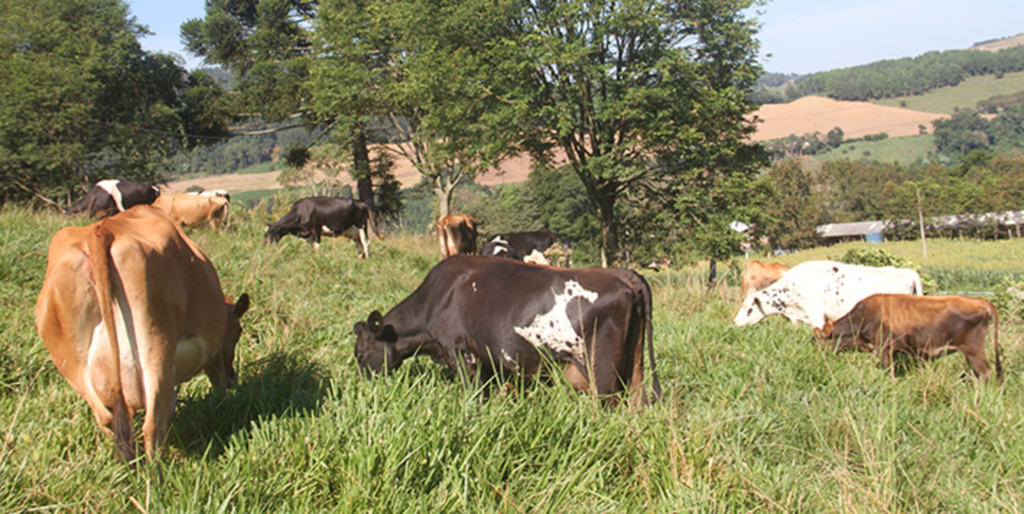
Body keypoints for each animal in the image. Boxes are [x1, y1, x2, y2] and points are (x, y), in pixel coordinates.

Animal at [36, 204, 249, 462]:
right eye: (238, 332)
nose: (233, 377)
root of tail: (101, 231)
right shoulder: (213, 349)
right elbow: (214, 385)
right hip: (156, 345)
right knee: (152, 424)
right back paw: (158, 471)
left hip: (70, 363)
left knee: (107, 419)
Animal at [354, 254, 663, 407]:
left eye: (360, 353)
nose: (362, 385)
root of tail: (622, 275)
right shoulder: (490, 361)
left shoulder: (459, 351)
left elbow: (473, 397)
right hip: (635, 367)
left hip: (601, 371)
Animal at [815, 292, 999, 380]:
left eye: (820, 341)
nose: (818, 359)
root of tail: (978, 301)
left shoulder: (884, 348)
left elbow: (889, 371)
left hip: (974, 350)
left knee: (986, 373)